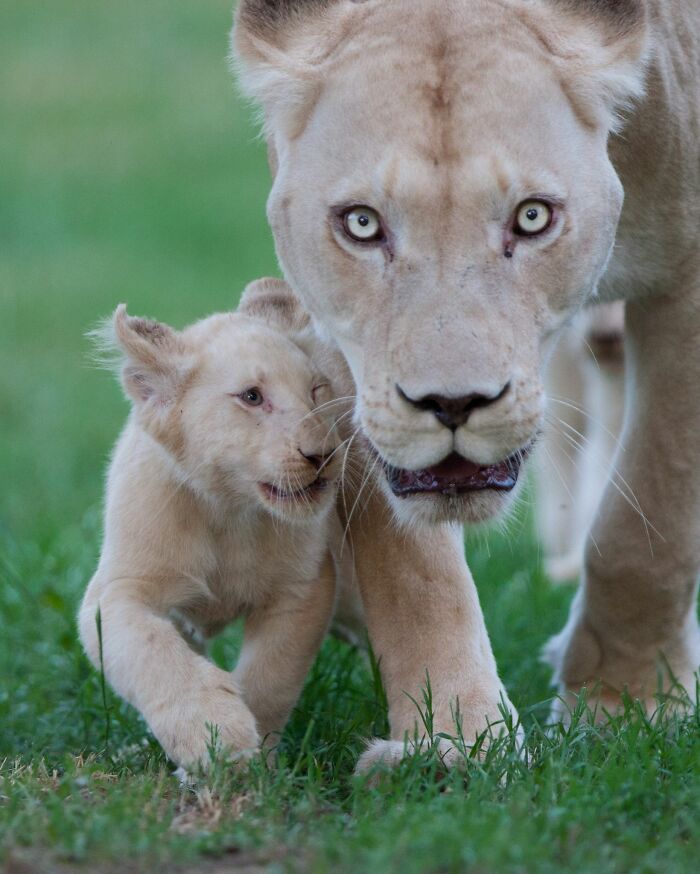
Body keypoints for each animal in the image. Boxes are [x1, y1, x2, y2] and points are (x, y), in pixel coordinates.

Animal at [78, 279, 345, 769]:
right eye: (252, 396)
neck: (229, 512)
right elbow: (154, 650)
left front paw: (250, 756)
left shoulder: (304, 586)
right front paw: (210, 733)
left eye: (317, 390)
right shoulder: (118, 591)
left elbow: (271, 675)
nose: (322, 454)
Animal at [233, 0, 700, 768]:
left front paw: (625, 708)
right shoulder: (342, 339)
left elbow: (651, 521)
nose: (453, 403)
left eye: (532, 217)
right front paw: (454, 743)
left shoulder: (688, 275)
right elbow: (411, 564)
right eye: (361, 223)